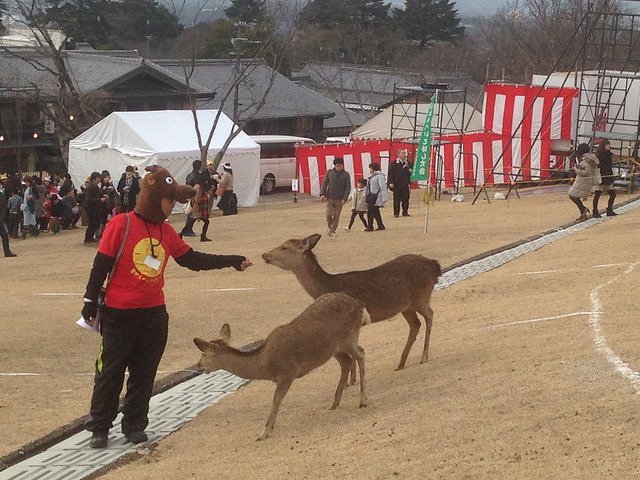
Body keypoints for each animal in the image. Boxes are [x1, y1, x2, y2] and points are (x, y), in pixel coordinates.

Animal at [192, 290, 370, 440]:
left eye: (203, 354)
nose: (199, 366)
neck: (265, 364)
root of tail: (361, 306)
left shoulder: (287, 372)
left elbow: (276, 399)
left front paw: (263, 433)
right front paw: (270, 427)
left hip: (348, 337)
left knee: (361, 353)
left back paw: (363, 400)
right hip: (333, 348)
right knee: (346, 361)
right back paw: (334, 404)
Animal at [262, 232, 442, 372]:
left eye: (284, 247)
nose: (264, 255)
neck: (330, 285)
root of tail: (435, 265)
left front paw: (351, 382)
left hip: (421, 296)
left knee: (430, 315)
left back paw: (424, 356)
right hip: (406, 305)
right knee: (415, 324)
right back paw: (401, 363)